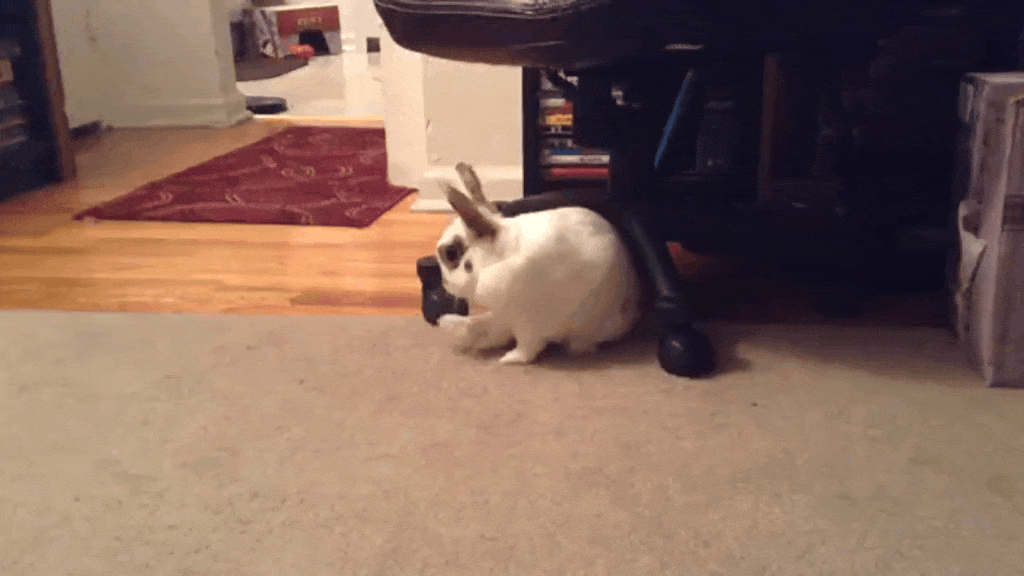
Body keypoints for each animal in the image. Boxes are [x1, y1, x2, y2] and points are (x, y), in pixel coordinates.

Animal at [434, 162, 642, 365]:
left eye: (451, 253)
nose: (445, 283)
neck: (493, 262)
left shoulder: (527, 324)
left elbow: (527, 350)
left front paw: (508, 359)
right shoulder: (506, 315)